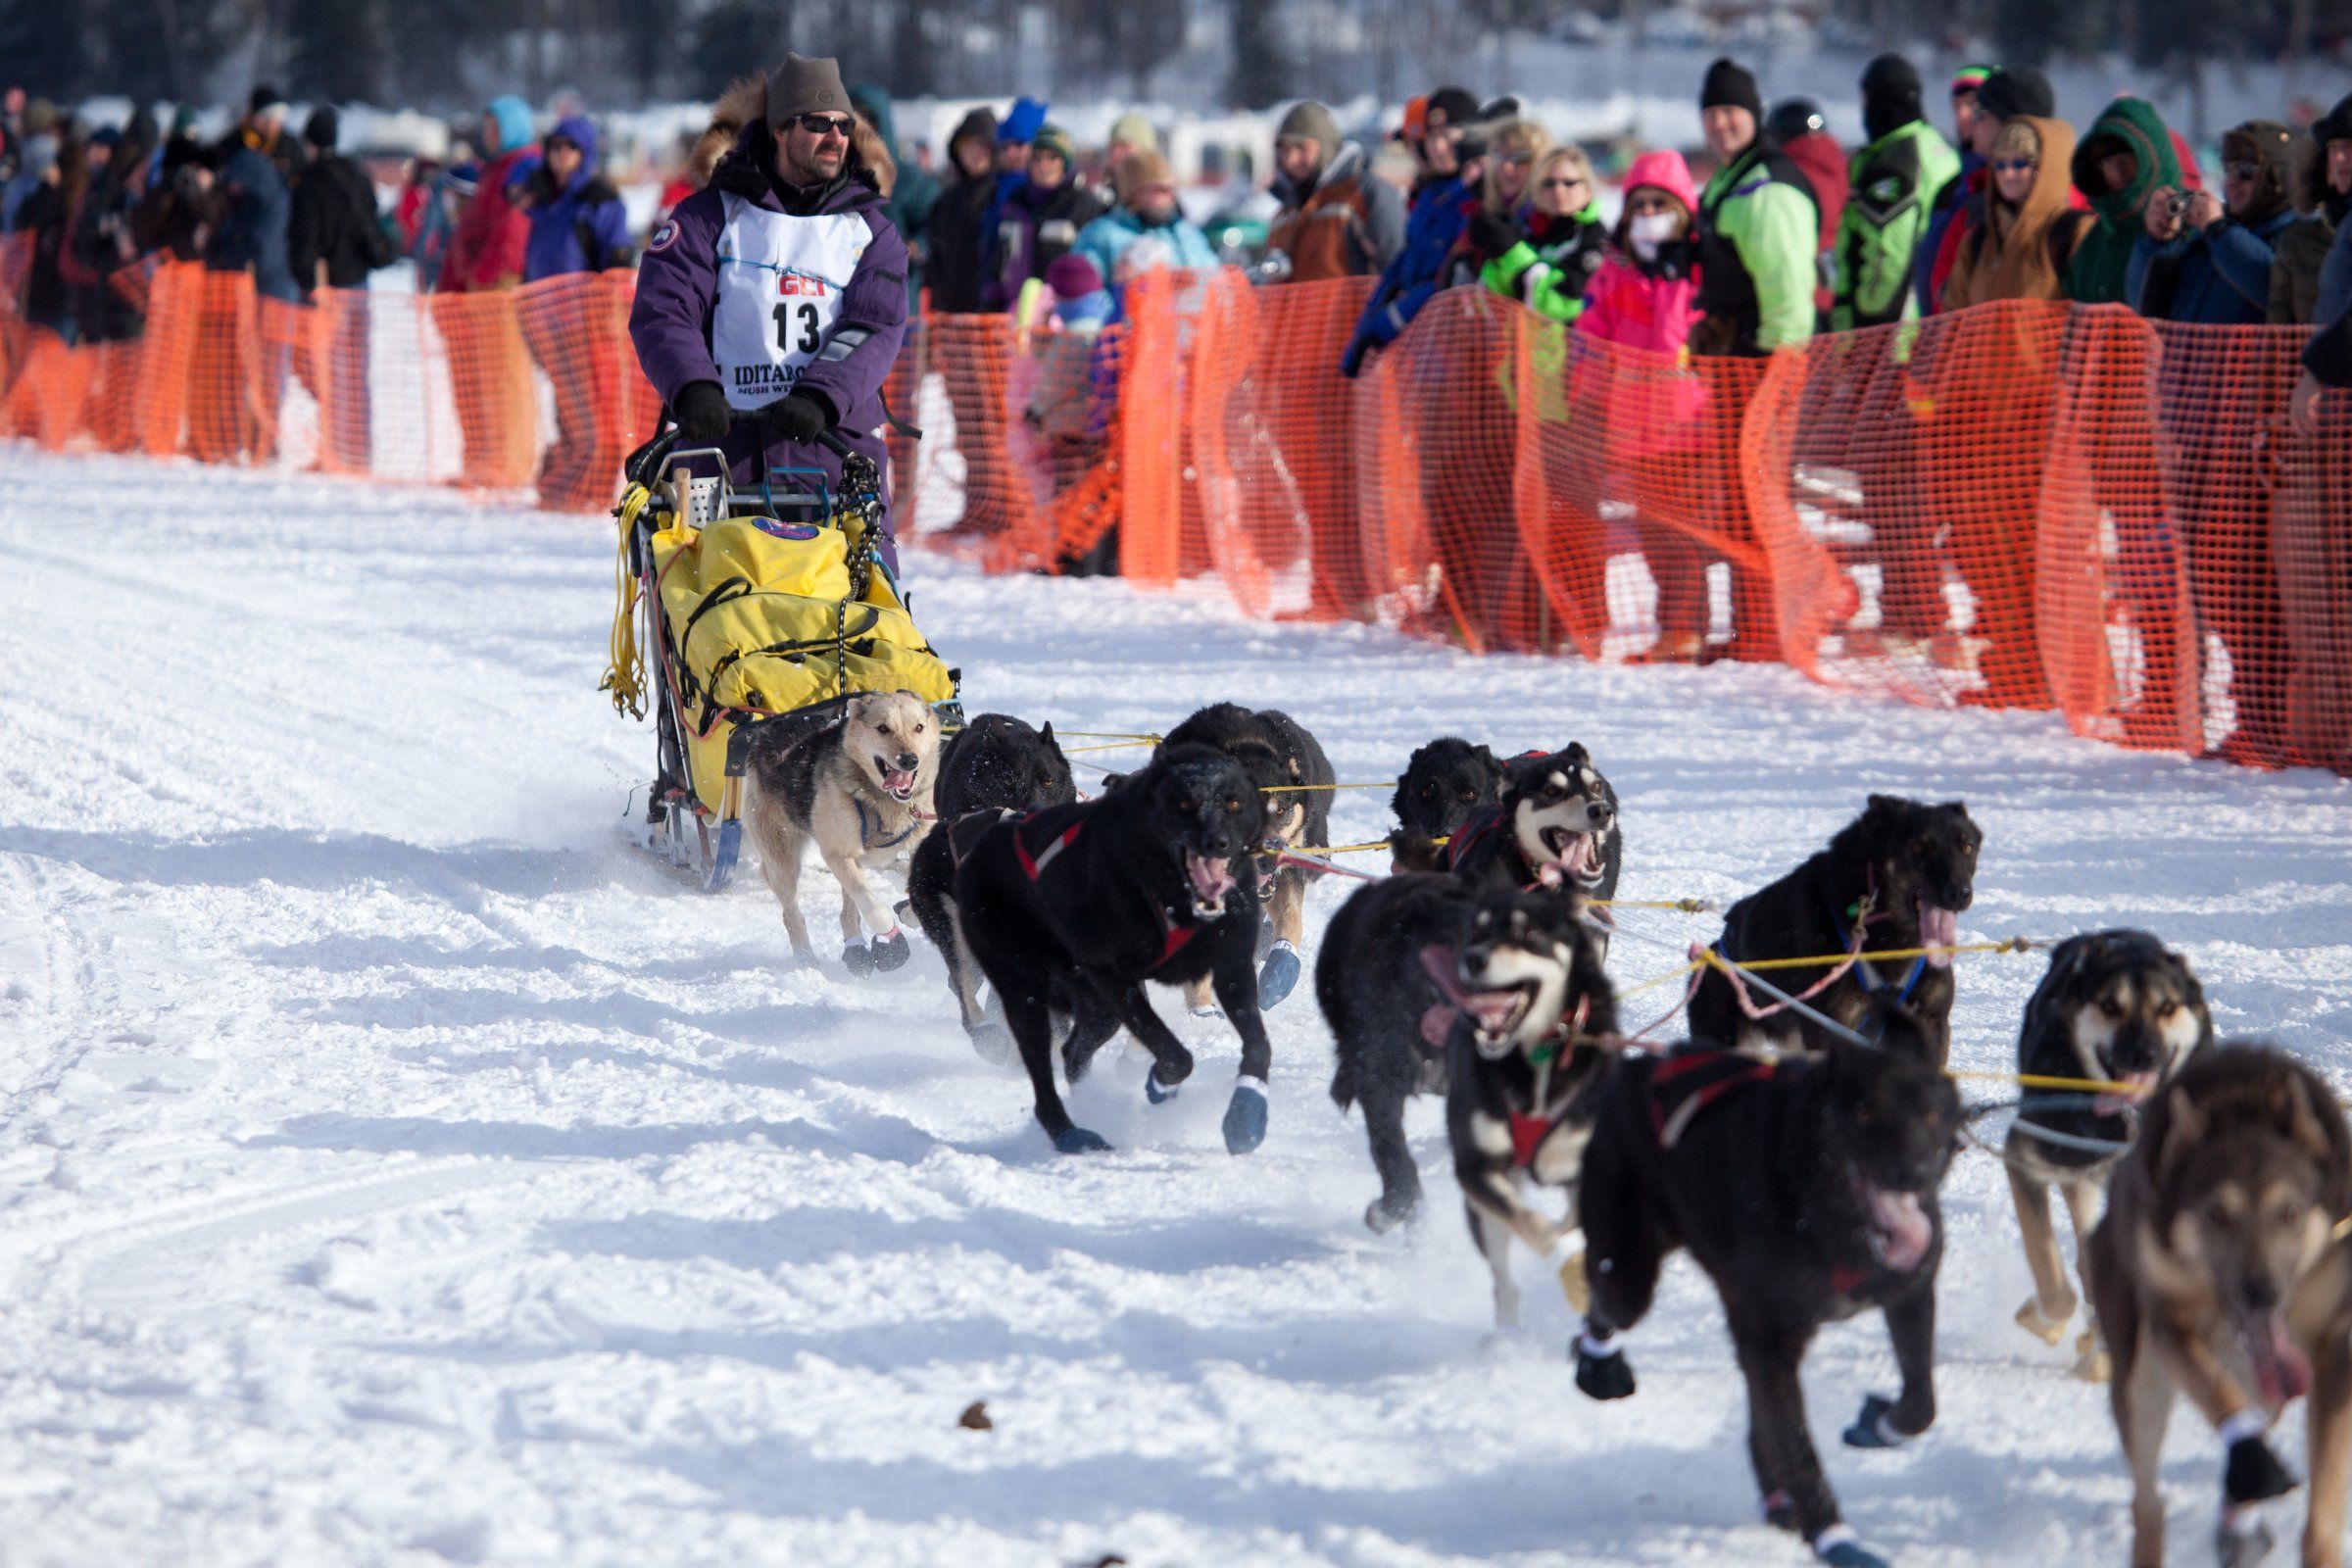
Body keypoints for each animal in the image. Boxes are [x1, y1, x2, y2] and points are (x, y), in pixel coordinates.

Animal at [748, 691, 941, 973]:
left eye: (918, 728)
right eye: (883, 728)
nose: (909, 759)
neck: (885, 802)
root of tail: (770, 728)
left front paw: (908, 913)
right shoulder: (838, 853)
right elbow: (873, 909)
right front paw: (892, 943)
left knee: (848, 910)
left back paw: (855, 948)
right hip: (784, 860)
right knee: (792, 911)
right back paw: (806, 956)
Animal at [955, 743, 1279, 1161]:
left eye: (1234, 801)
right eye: (1184, 802)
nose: (1216, 841)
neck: (1174, 899)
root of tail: (984, 839)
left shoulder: (1232, 966)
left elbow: (1258, 1046)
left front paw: (1245, 1118)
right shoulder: (1112, 975)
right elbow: (1174, 1053)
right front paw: (1161, 1083)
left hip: (1096, 1007)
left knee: (1073, 1052)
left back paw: (1092, 1103)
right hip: (1025, 989)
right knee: (1042, 1074)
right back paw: (1070, 1134)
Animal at [1580, 1005, 1966, 1568]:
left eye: (1931, 1116)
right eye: (1866, 1112)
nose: (1915, 1173)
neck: (1822, 1210)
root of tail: (1635, 1067)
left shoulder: (1910, 1294)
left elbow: (1920, 1404)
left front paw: (1878, 1424)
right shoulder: (1772, 1338)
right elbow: (1799, 1445)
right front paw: (1835, 1538)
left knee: (1758, 1414)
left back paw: (1778, 1500)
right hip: (1630, 1271)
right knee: (1608, 1304)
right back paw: (1597, 1368)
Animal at [1684, 799, 1976, 1067]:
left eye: (1967, 847)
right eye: (1918, 847)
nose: (1959, 893)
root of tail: (1714, 950)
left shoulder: (1931, 1022)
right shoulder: (1832, 1027)